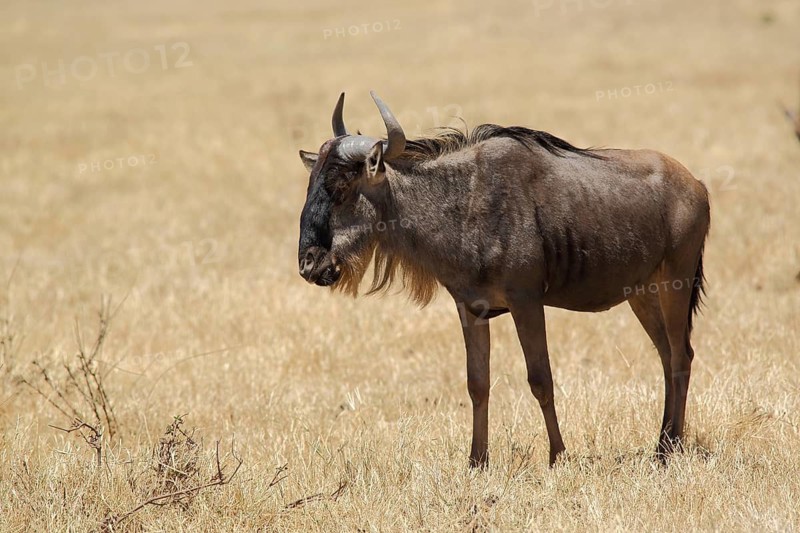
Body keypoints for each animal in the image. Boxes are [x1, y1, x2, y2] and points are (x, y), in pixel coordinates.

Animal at [297, 92, 710, 468]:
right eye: (312, 185)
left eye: (342, 188)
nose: (309, 265)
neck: (462, 203)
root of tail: (697, 185)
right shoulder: (470, 308)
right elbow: (477, 383)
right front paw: (477, 461)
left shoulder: (526, 301)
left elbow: (540, 379)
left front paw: (558, 456)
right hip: (642, 293)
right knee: (667, 355)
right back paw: (663, 444)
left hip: (675, 282)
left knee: (680, 356)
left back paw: (668, 450)